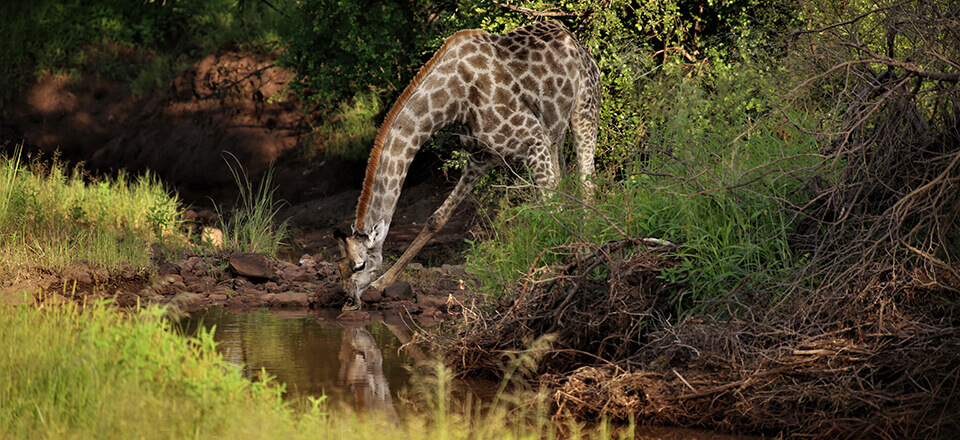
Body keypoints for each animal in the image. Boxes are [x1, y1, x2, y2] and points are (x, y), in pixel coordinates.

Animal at [334, 19, 596, 310]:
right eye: (339, 267)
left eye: (359, 265)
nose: (349, 300)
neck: (454, 99)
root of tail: (573, 38)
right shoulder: (481, 157)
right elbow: (436, 218)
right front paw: (383, 282)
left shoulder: (533, 140)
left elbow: (552, 208)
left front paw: (557, 268)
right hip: (555, 133)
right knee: (567, 181)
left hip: (584, 110)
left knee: (587, 184)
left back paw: (587, 249)